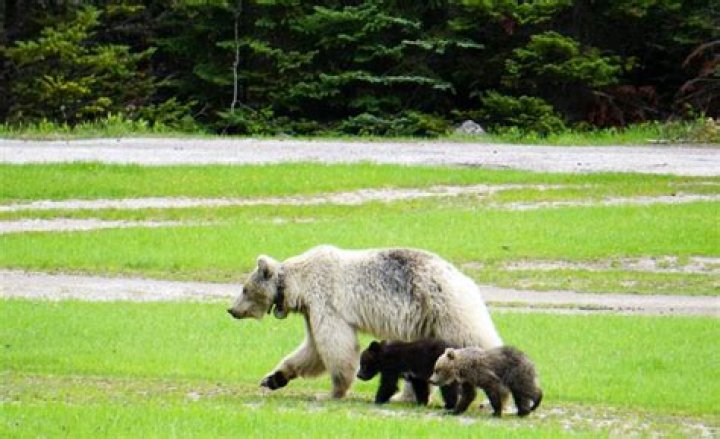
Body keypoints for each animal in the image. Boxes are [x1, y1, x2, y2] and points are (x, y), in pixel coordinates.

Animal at [227, 245, 503, 399]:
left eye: (244, 288)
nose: (231, 310)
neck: (299, 285)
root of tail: (465, 279)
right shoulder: (311, 310)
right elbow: (312, 350)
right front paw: (273, 378)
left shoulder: (326, 302)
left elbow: (335, 345)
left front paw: (334, 390)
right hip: (429, 322)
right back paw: (408, 396)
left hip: (446, 308)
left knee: (475, 339)